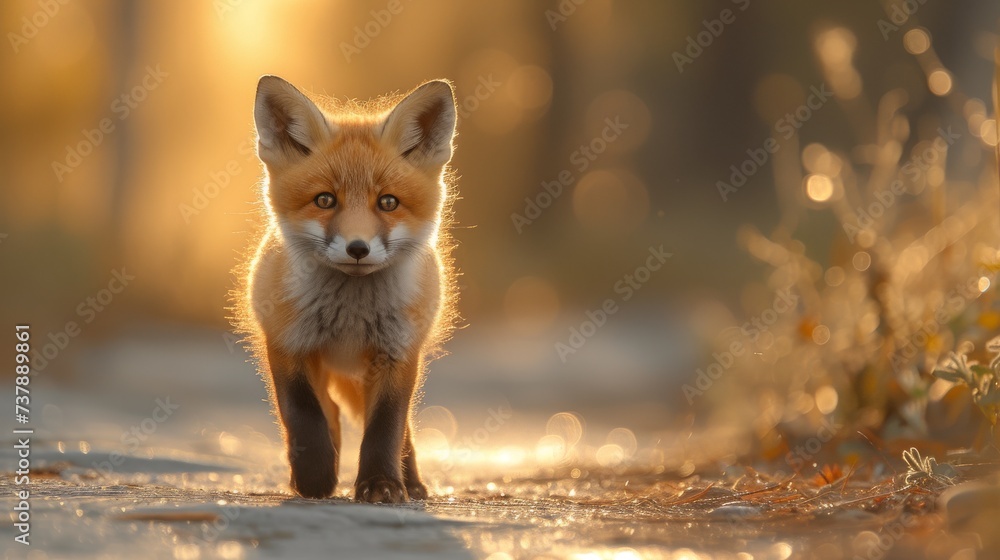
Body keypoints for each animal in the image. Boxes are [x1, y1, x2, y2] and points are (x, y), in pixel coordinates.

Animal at [231, 75, 459, 503]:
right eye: (325, 200)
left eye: (388, 202)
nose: (357, 248)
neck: (350, 316)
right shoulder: (287, 343)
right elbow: (304, 414)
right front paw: (315, 476)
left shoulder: (398, 353)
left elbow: (386, 427)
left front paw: (382, 483)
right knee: (331, 413)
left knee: (402, 429)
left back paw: (411, 481)